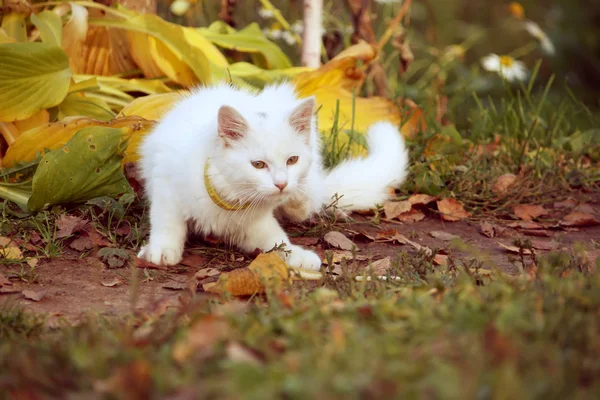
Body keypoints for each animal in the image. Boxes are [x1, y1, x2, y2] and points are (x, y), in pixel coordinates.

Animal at [137, 81, 408, 270]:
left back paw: (296, 201)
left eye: (292, 160)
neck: (228, 195)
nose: (281, 184)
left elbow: (279, 242)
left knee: (306, 202)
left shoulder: (256, 226)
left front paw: (298, 256)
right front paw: (161, 250)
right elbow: (167, 223)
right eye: (258, 165)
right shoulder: (165, 185)